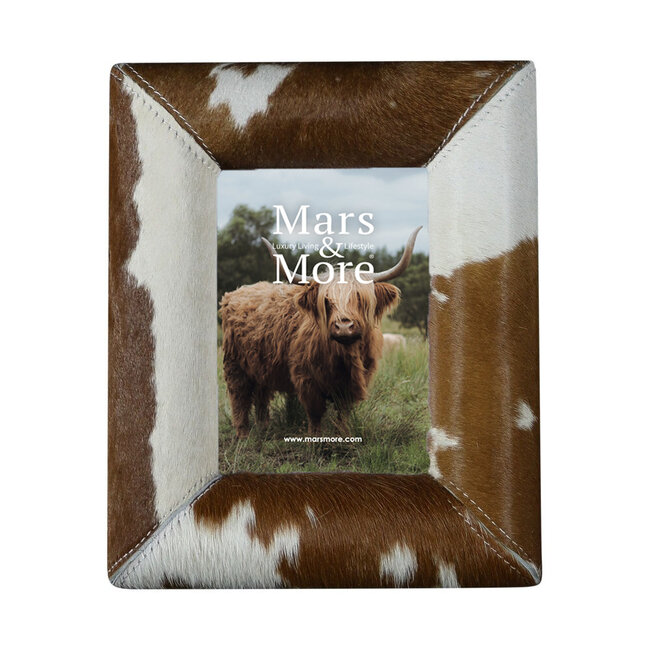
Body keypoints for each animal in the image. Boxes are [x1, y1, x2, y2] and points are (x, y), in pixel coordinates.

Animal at [219, 227, 421, 437]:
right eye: (326, 300)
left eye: (359, 298)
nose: (344, 326)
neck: (344, 357)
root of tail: (237, 291)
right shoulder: (307, 380)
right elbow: (315, 414)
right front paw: (316, 440)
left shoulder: (352, 384)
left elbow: (343, 414)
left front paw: (343, 435)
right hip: (234, 365)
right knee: (239, 398)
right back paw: (243, 435)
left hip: (260, 366)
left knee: (261, 396)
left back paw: (264, 429)